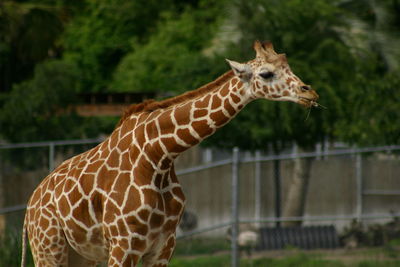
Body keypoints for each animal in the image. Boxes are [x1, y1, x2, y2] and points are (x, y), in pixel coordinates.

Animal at [21, 40, 318, 266]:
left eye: (289, 68)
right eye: (266, 73)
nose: (310, 93)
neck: (158, 155)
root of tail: (28, 209)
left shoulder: (164, 244)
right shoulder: (123, 244)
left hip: (82, 255)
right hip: (49, 247)